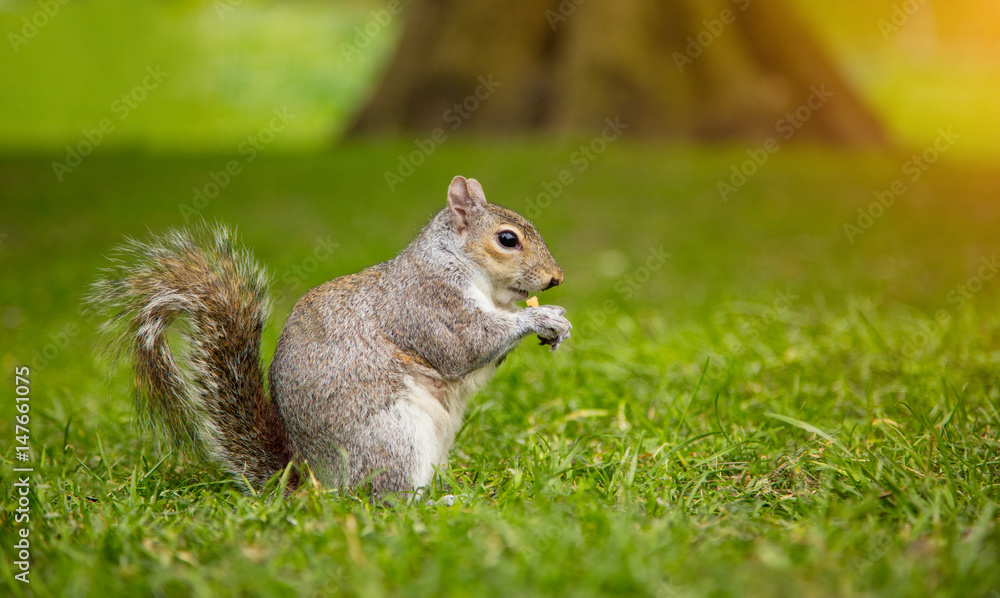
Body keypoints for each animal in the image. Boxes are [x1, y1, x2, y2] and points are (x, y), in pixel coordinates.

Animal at [90, 177, 576, 502]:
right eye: (507, 239)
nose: (556, 279)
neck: (461, 264)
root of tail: (312, 479)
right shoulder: (427, 304)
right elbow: (466, 345)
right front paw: (540, 317)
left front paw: (553, 325)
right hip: (392, 437)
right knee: (386, 499)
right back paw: (440, 501)